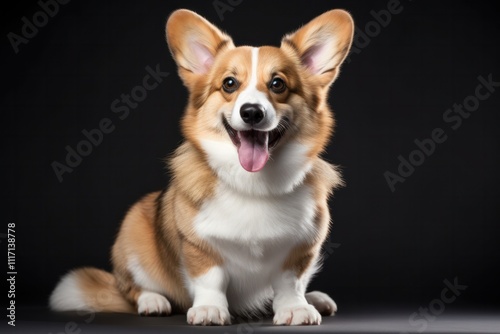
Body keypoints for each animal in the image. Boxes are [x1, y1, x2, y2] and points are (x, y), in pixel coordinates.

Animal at [48, 8, 354, 326]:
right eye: (229, 83)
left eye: (277, 84)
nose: (252, 112)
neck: (253, 184)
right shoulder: (199, 246)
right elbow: (211, 279)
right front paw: (210, 309)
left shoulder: (301, 249)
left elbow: (290, 282)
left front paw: (295, 308)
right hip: (133, 231)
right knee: (133, 290)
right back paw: (153, 301)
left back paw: (314, 299)